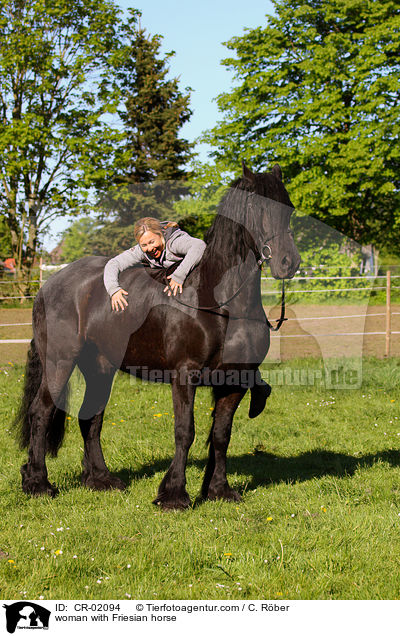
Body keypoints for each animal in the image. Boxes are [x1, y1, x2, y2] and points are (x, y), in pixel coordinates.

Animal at [15, 161, 300, 510]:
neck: (219, 301)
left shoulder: (234, 381)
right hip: (59, 362)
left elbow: (221, 434)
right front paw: (174, 494)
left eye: (289, 207)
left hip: (100, 367)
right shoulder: (185, 375)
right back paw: (38, 483)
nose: (288, 262)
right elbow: (185, 431)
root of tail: (49, 286)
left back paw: (101, 479)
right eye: (259, 206)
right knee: (41, 412)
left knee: (90, 418)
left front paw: (219, 490)